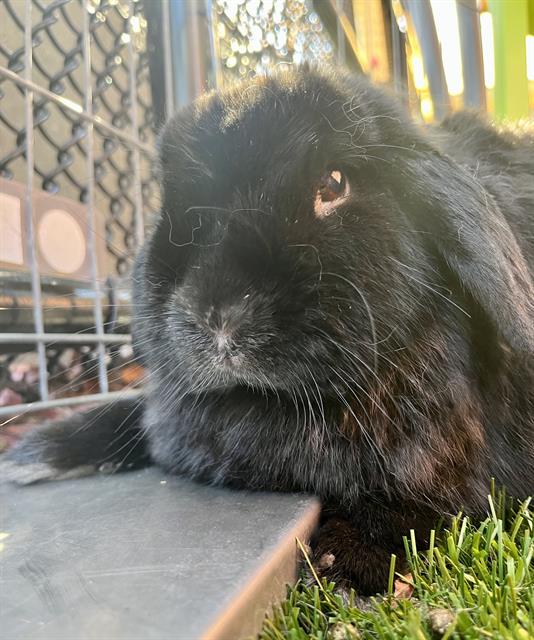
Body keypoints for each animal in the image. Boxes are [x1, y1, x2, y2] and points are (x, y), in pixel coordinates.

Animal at [5, 66, 534, 596]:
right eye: (166, 205)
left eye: (335, 183)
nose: (219, 318)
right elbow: (133, 416)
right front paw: (31, 453)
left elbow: (428, 508)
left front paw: (344, 567)